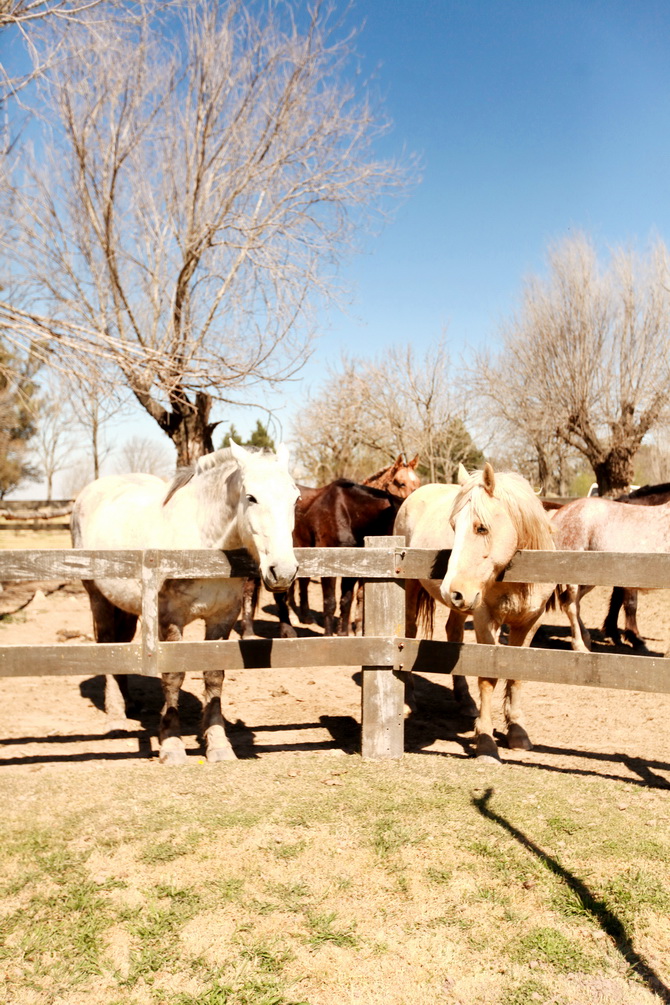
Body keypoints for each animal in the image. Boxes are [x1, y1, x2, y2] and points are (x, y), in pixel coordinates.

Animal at [71, 444, 299, 763]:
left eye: (296, 498)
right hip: (98, 597)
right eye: (251, 497)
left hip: (125, 605)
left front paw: (218, 744)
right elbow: (174, 676)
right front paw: (172, 744)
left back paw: (128, 704)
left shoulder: (223, 617)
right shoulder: (170, 619)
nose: (284, 571)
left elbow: (214, 677)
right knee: (106, 644)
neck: (202, 545)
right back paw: (115, 717)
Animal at [395, 462, 558, 759]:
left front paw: (517, 733)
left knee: (453, 632)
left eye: (481, 528)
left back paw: (465, 700)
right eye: (453, 526)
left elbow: (517, 675)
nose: (451, 590)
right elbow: (487, 677)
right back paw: (408, 700)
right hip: (415, 590)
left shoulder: (530, 621)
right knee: (410, 633)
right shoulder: (485, 620)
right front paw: (485, 740)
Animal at [554, 494, 670, 651]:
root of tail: (559, 514)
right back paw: (579, 646)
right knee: (571, 605)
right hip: (572, 576)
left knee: (572, 603)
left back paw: (587, 641)